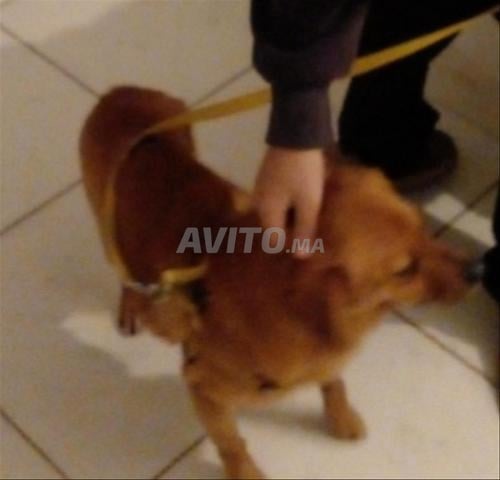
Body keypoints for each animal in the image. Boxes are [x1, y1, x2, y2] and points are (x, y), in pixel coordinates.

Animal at [80, 86, 473, 479]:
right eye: (404, 270)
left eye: (423, 228)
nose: (476, 269)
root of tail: (121, 95)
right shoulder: (203, 388)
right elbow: (232, 444)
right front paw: (245, 472)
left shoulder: (326, 360)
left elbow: (334, 382)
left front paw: (340, 416)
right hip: (107, 234)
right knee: (126, 277)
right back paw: (133, 306)